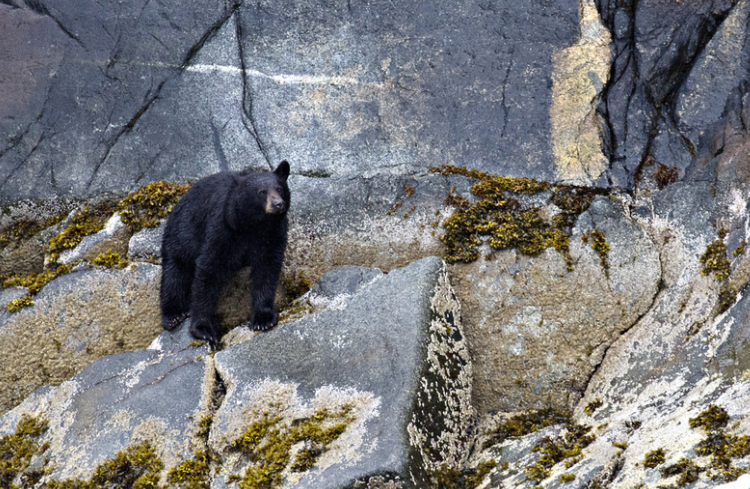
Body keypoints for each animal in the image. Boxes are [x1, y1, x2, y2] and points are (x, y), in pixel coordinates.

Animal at [160, 160, 292, 344]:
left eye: (279, 188)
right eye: (261, 192)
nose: (278, 204)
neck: (254, 224)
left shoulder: (274, 233)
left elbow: (267, 269)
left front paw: (263, 318)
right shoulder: (223, 227)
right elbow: (209, 268)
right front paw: (203, 328)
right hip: (180, 234)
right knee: (175, 272)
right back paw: (174, 316)